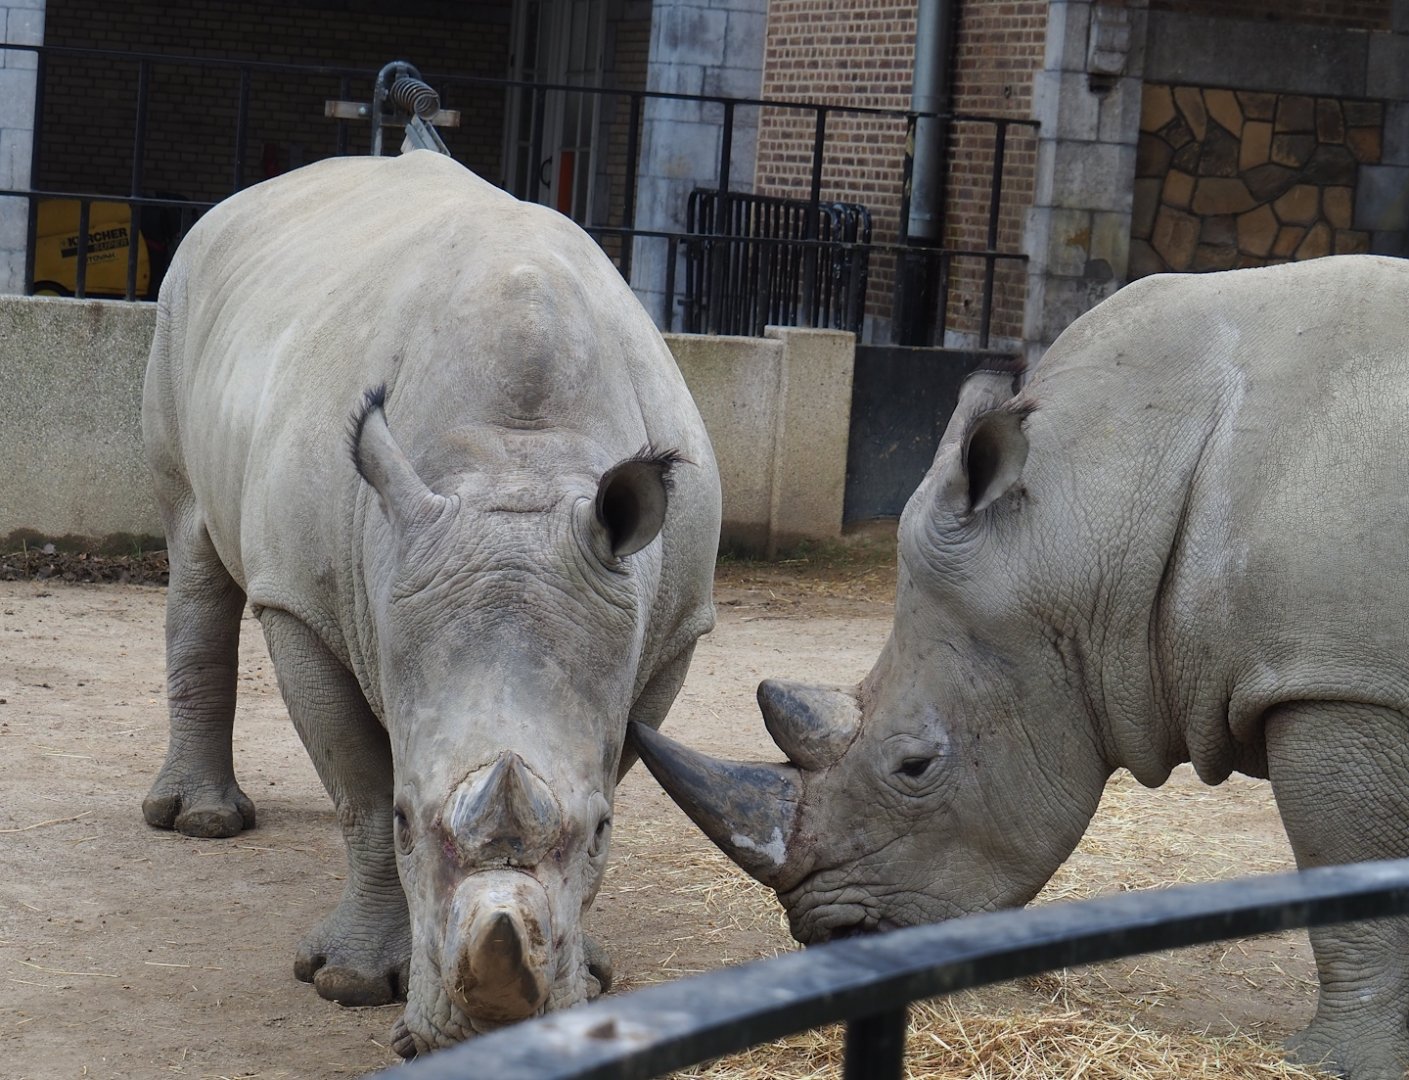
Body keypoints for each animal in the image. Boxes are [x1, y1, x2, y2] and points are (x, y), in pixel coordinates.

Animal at [141, 150, 721, 1055]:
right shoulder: (303, 602)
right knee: (194, 542)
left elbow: (612, 760)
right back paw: (200, 824)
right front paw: (346, 983)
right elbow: (359, 785)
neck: (516, 464)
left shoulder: (667, 629)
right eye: (410, 823)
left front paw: (590, 974)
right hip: (179, 302)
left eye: (603, 831)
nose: (488, 1036)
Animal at [634, 254, 1409, 1079]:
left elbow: (1346, 865)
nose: (832, 938)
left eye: (914, 766)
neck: (1087, 508)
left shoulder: (1337, 682)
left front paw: (1334, 1061)